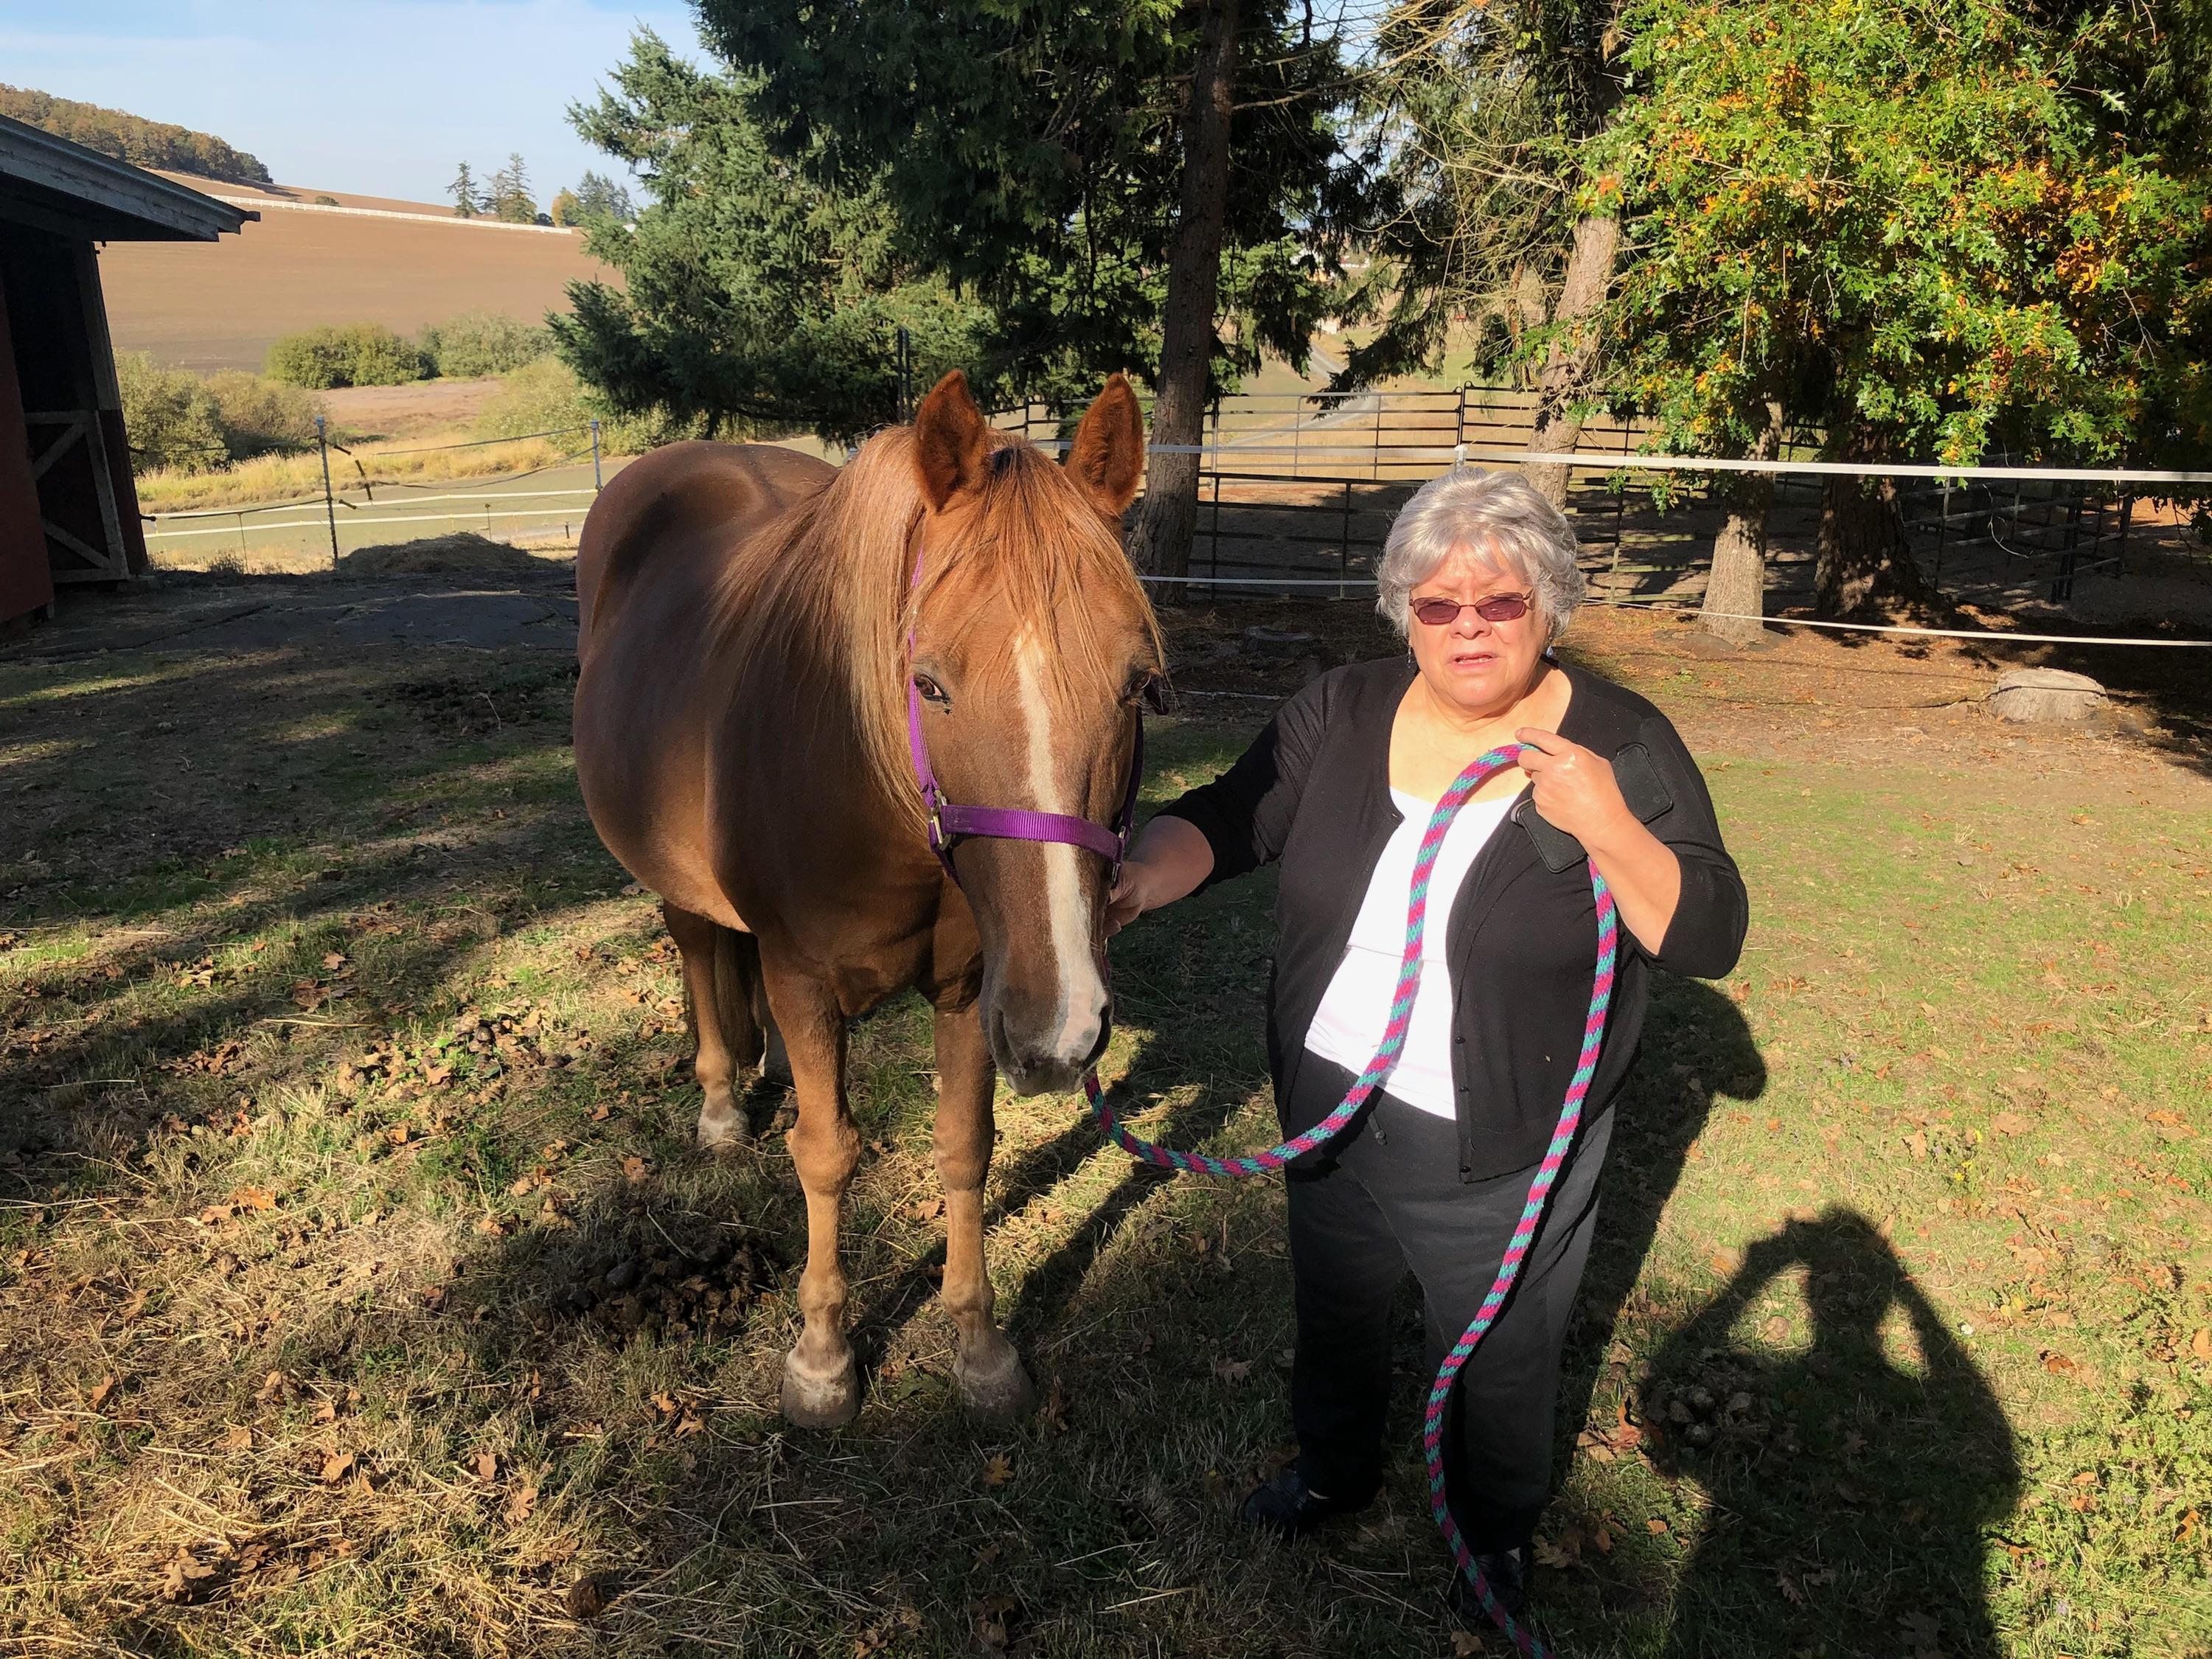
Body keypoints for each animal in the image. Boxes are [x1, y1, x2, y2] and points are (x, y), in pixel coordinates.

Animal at [573, 371, 1161, 1427]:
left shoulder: (974, 990)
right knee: (697, 945)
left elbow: (965, 1148)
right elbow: (826, 1153)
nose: (1063, 1026)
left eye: (1138, 685)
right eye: (927, 684)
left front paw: (979, 1347)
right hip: (671, 877)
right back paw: (721, 1102)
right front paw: (821, 1359)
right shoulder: (807, 978)